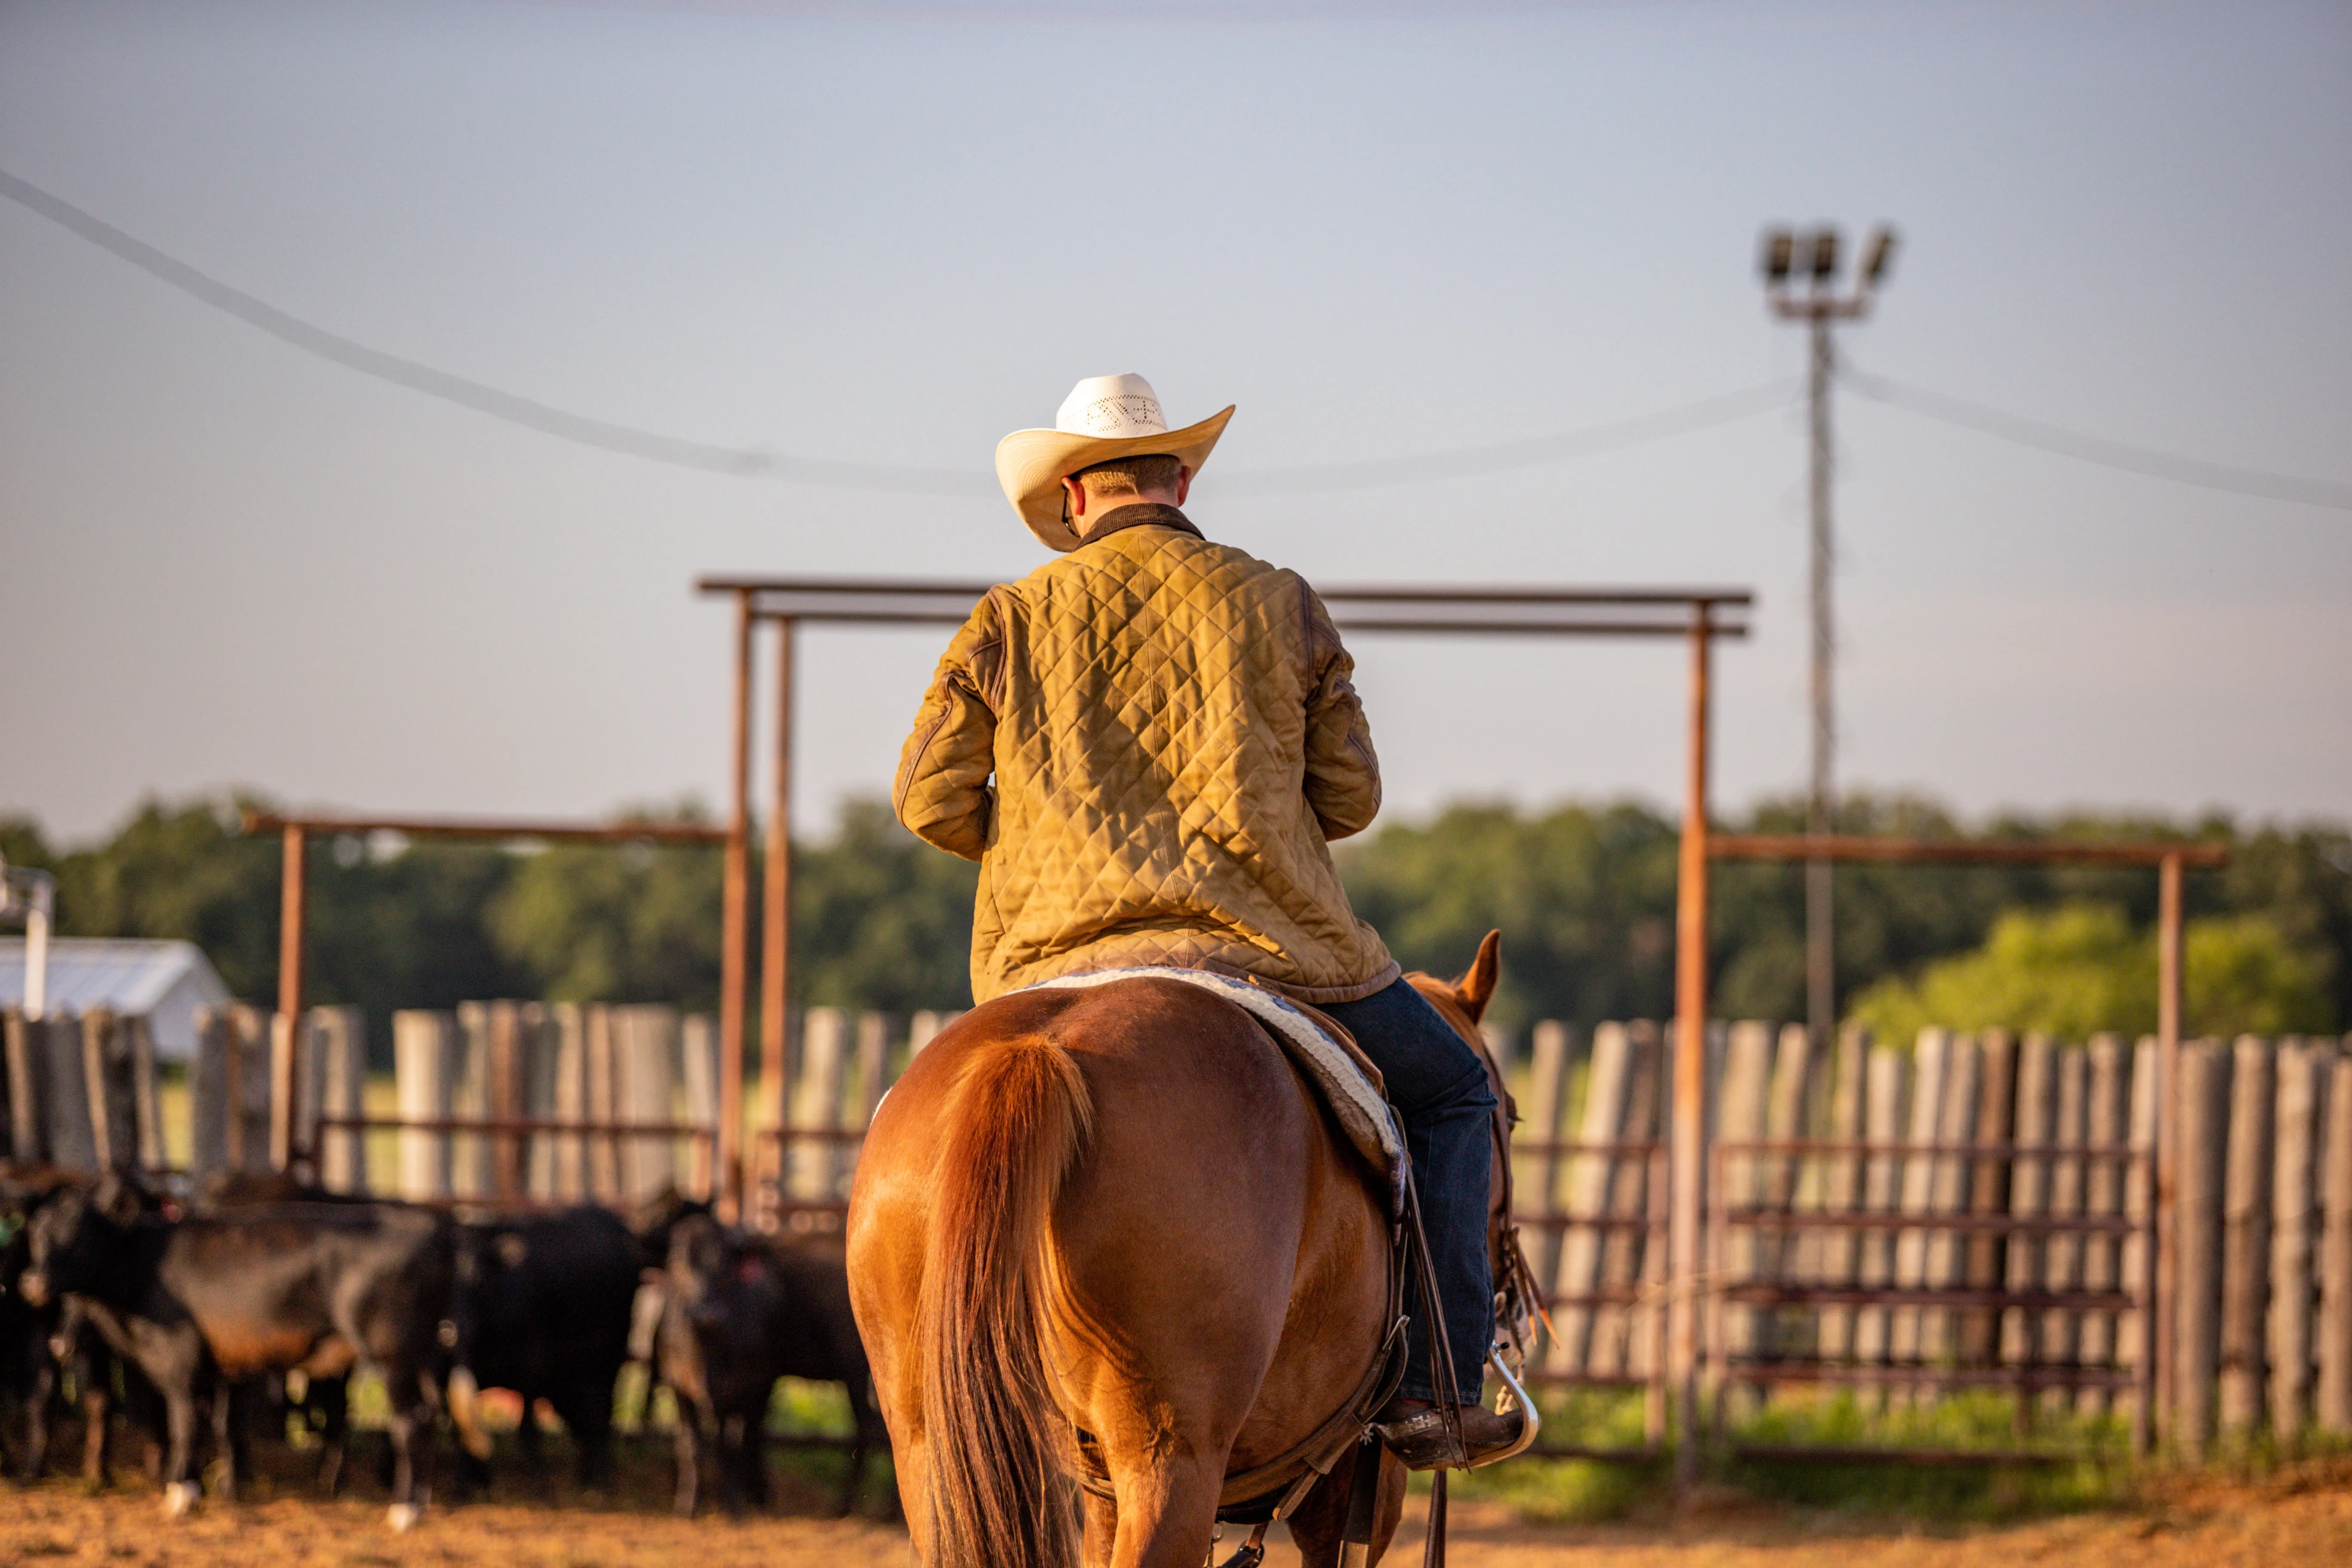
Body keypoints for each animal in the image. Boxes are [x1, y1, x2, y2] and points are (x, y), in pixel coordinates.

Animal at [23, 1185, 459, 1523]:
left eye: (80, 1235)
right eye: (37, 1235)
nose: (34, 1283)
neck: (144, 1262)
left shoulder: (179, 1362)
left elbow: (184, 1426)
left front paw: (178, 1496)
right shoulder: (217, 1368)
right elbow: (216, 1426)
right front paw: (200, 1490)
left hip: (392, 1353)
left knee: (409, 1421)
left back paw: (404, 1511)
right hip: (423, 1355)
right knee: (428, 1416)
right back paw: (420, 1501)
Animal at [442, 1204, 640, 1495]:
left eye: (479, 1278)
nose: (449, 1330)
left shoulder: (532, 1369)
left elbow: (527, 1431)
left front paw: (541, 1482)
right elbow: (461, 1430)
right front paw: (465, 1484)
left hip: (610, 1357)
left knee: (602, 1412)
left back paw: (598, 1478)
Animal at [649, 1213, 884, 1523]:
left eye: (725, 1264)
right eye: (678, 1261)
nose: (707, 1313)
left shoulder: (752, 1383)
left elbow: (736, 1443)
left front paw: (737, 1504)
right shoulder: (680, 1386)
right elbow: (693, 1445)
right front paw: (690, 1505)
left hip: (857, 1370)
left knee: (871, 1428)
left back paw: (847, 1507)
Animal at [846, 931, 1524, 1568]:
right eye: (1510, 1115)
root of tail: (1036, 1051)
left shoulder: (1103, 1495)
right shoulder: (1361, 1485)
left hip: (931, 1448)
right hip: (1173, 1461)